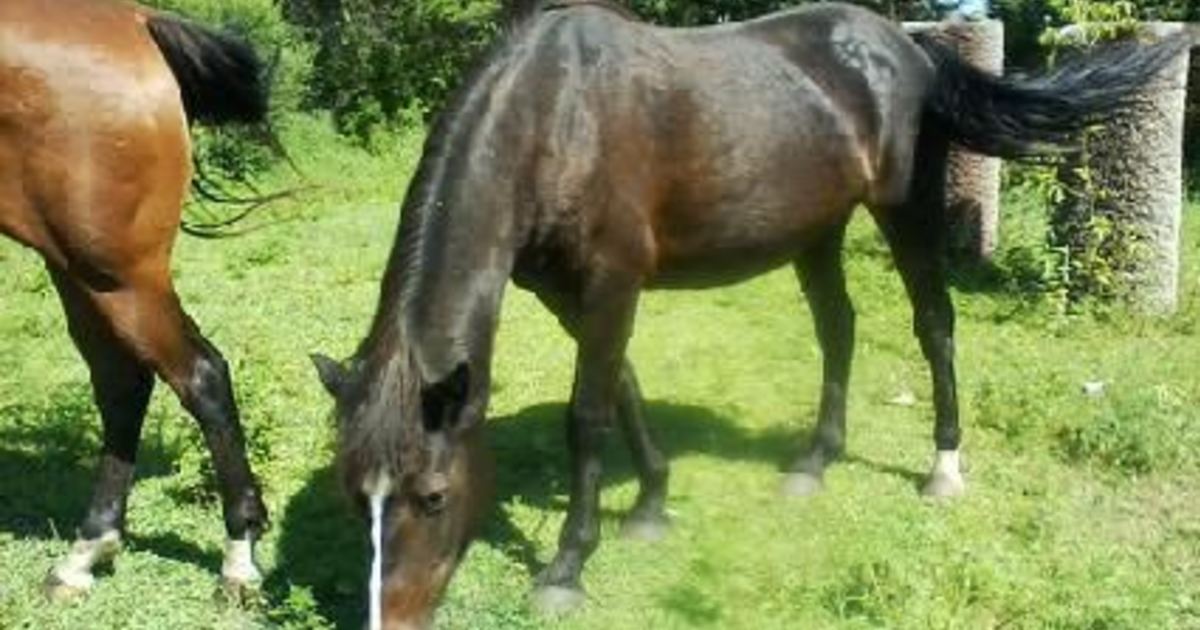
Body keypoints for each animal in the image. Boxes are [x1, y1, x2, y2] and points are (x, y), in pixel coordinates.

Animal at [0, 0, 271, 599]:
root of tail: (135, 21)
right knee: (123, 381)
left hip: (116, 275)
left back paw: (238, 557)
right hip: (79, 269)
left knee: (200, 375)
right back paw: (86, 551)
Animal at [310, 1, 1189, 626]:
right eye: (356, 496)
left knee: (934, 323)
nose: (390, 620)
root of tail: (908, 48)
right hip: (817, 231)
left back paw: (943, 465)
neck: (554, 116)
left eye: (432, 496)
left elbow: (588, 414)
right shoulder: (568, 293)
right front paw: (652, 504)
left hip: (905, 214)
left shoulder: (611, 283)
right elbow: (623, 388)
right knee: (839, 330)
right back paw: (813, 460)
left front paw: (566, 567)